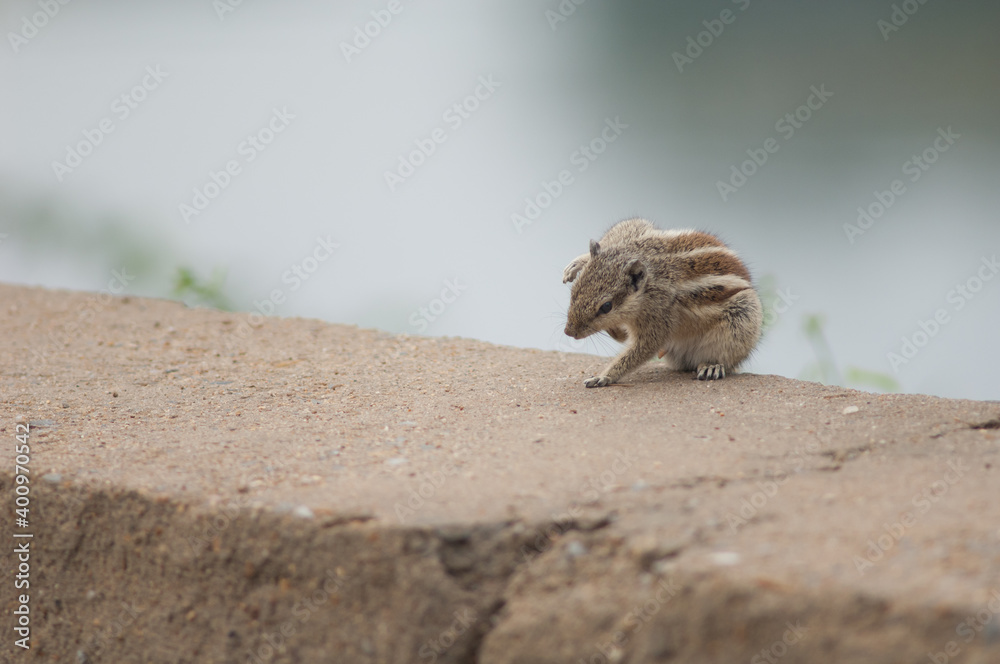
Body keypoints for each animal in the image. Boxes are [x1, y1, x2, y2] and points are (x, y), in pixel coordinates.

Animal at [562, 217, 762, 387]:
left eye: (606, 306)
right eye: (574, 291)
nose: (569, 332)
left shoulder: (658, 318)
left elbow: (641, 350)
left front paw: (604, 376)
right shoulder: (631, 230)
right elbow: (623, 227)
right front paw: (577, 264)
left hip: (744, 313)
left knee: (727, 360)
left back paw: (712, 366)